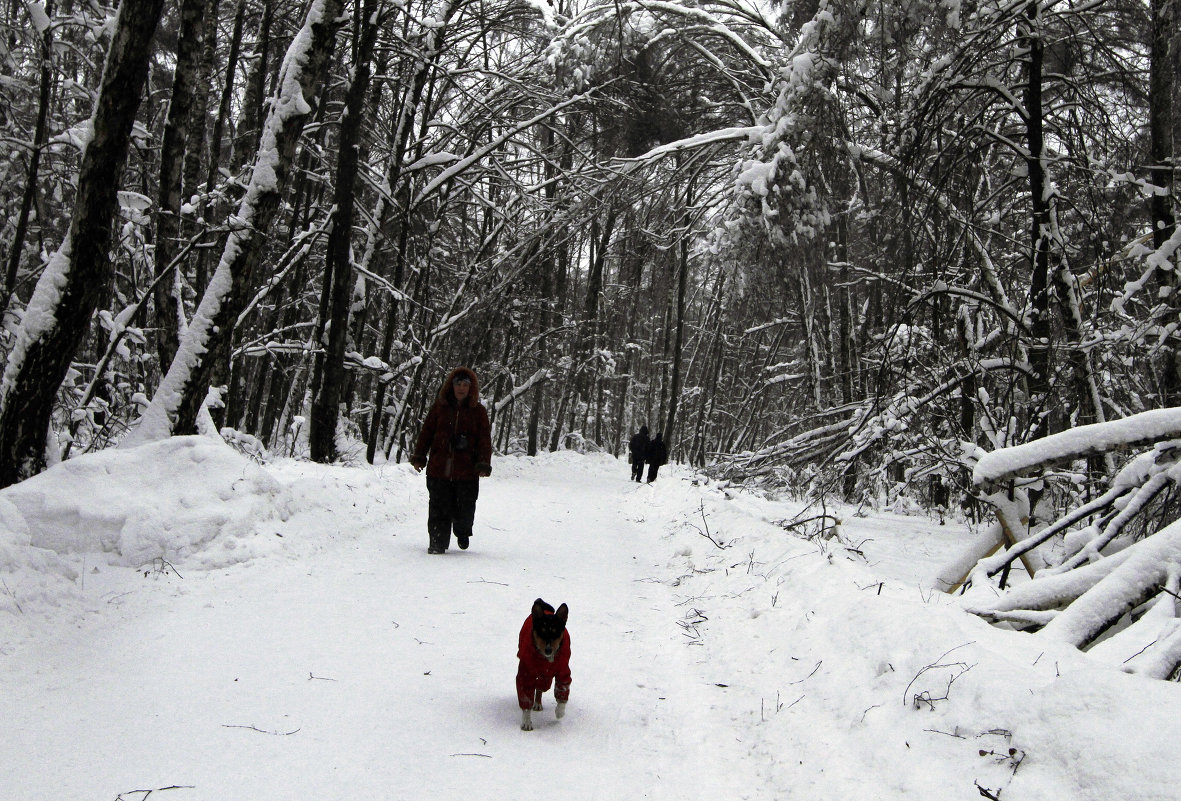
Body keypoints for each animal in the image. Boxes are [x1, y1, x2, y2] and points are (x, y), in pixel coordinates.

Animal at [517, 595, 571, 732]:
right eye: (541, 632)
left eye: (556, 633)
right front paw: (526, 722)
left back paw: (538, 703)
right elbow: (526, 698)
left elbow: (563, 691)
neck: (547, 660)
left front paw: (559, 712)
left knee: (541, 687)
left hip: (546, 678)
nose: (548, 650)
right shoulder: (526, 674)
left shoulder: (563, 671)